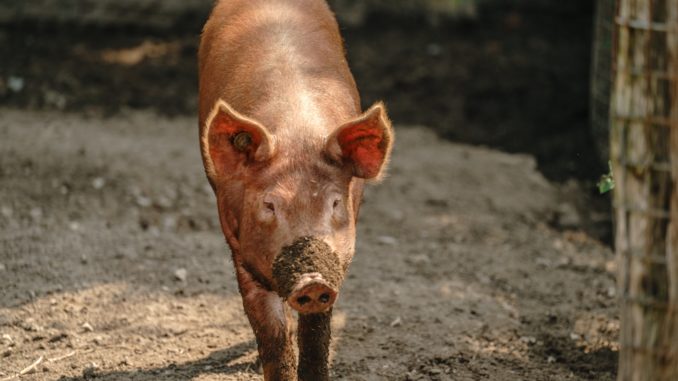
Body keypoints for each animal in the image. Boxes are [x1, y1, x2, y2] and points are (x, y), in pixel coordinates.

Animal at [198, 1, 394, 378]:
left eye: (335, 203)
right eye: (270, 205)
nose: (312, 280)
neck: (296, 135)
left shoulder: (337, 262)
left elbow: (316, 333)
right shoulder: (238, 243)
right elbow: (270, 330)